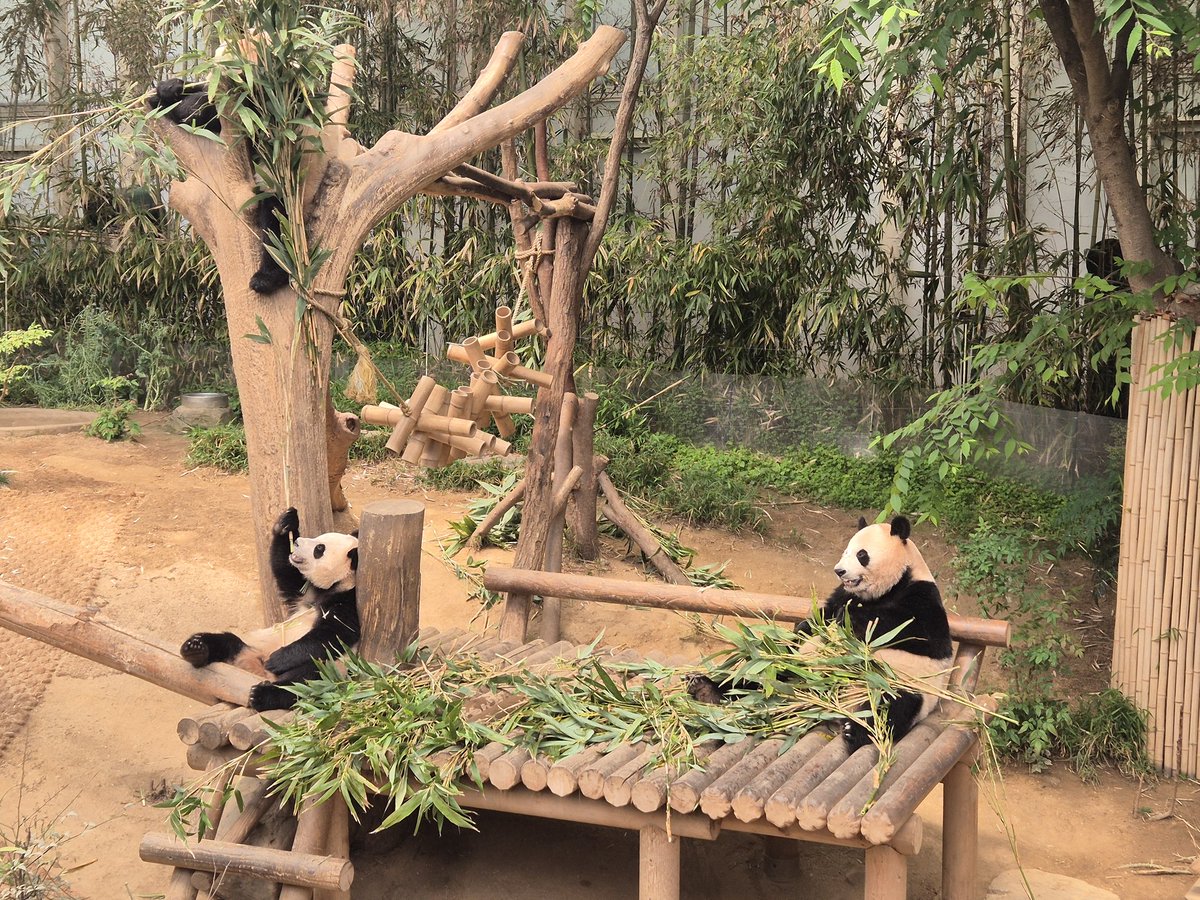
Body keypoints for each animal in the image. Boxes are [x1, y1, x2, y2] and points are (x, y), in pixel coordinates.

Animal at [180, 507, 360, 711]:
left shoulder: (347, 603)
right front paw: (286, 523)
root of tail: (256, 670)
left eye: (319, 549)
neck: (333, 587)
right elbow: (285, 572)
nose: (296, 542)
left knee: (306, 679)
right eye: (319, 538)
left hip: (332, 669)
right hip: (254, 645)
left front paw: (278, 659)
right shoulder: (303, 593)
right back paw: (196, 649)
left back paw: (262, 694)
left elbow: (332, 634)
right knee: (227, 642)